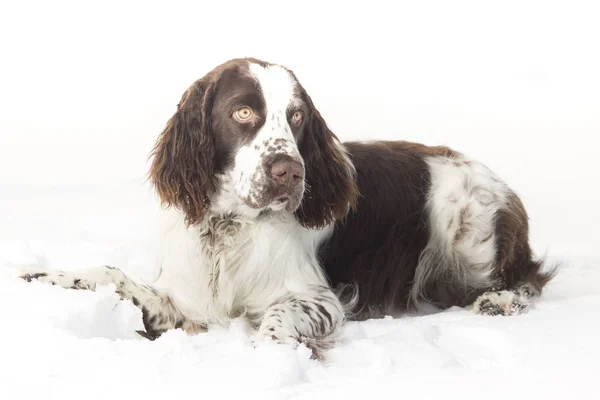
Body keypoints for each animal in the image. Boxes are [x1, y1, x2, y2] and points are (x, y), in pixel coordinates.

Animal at [17, 57, 552, 360]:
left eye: (296, 116)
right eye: (242, 112)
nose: (289, 172)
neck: (229, 224)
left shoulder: (318, 299)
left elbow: (278, 319)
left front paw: (267, 360)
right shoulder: (184, 303)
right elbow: (110, 274)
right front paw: (40, 278)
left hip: (468, 225)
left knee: (527, 274)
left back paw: (501, 300)